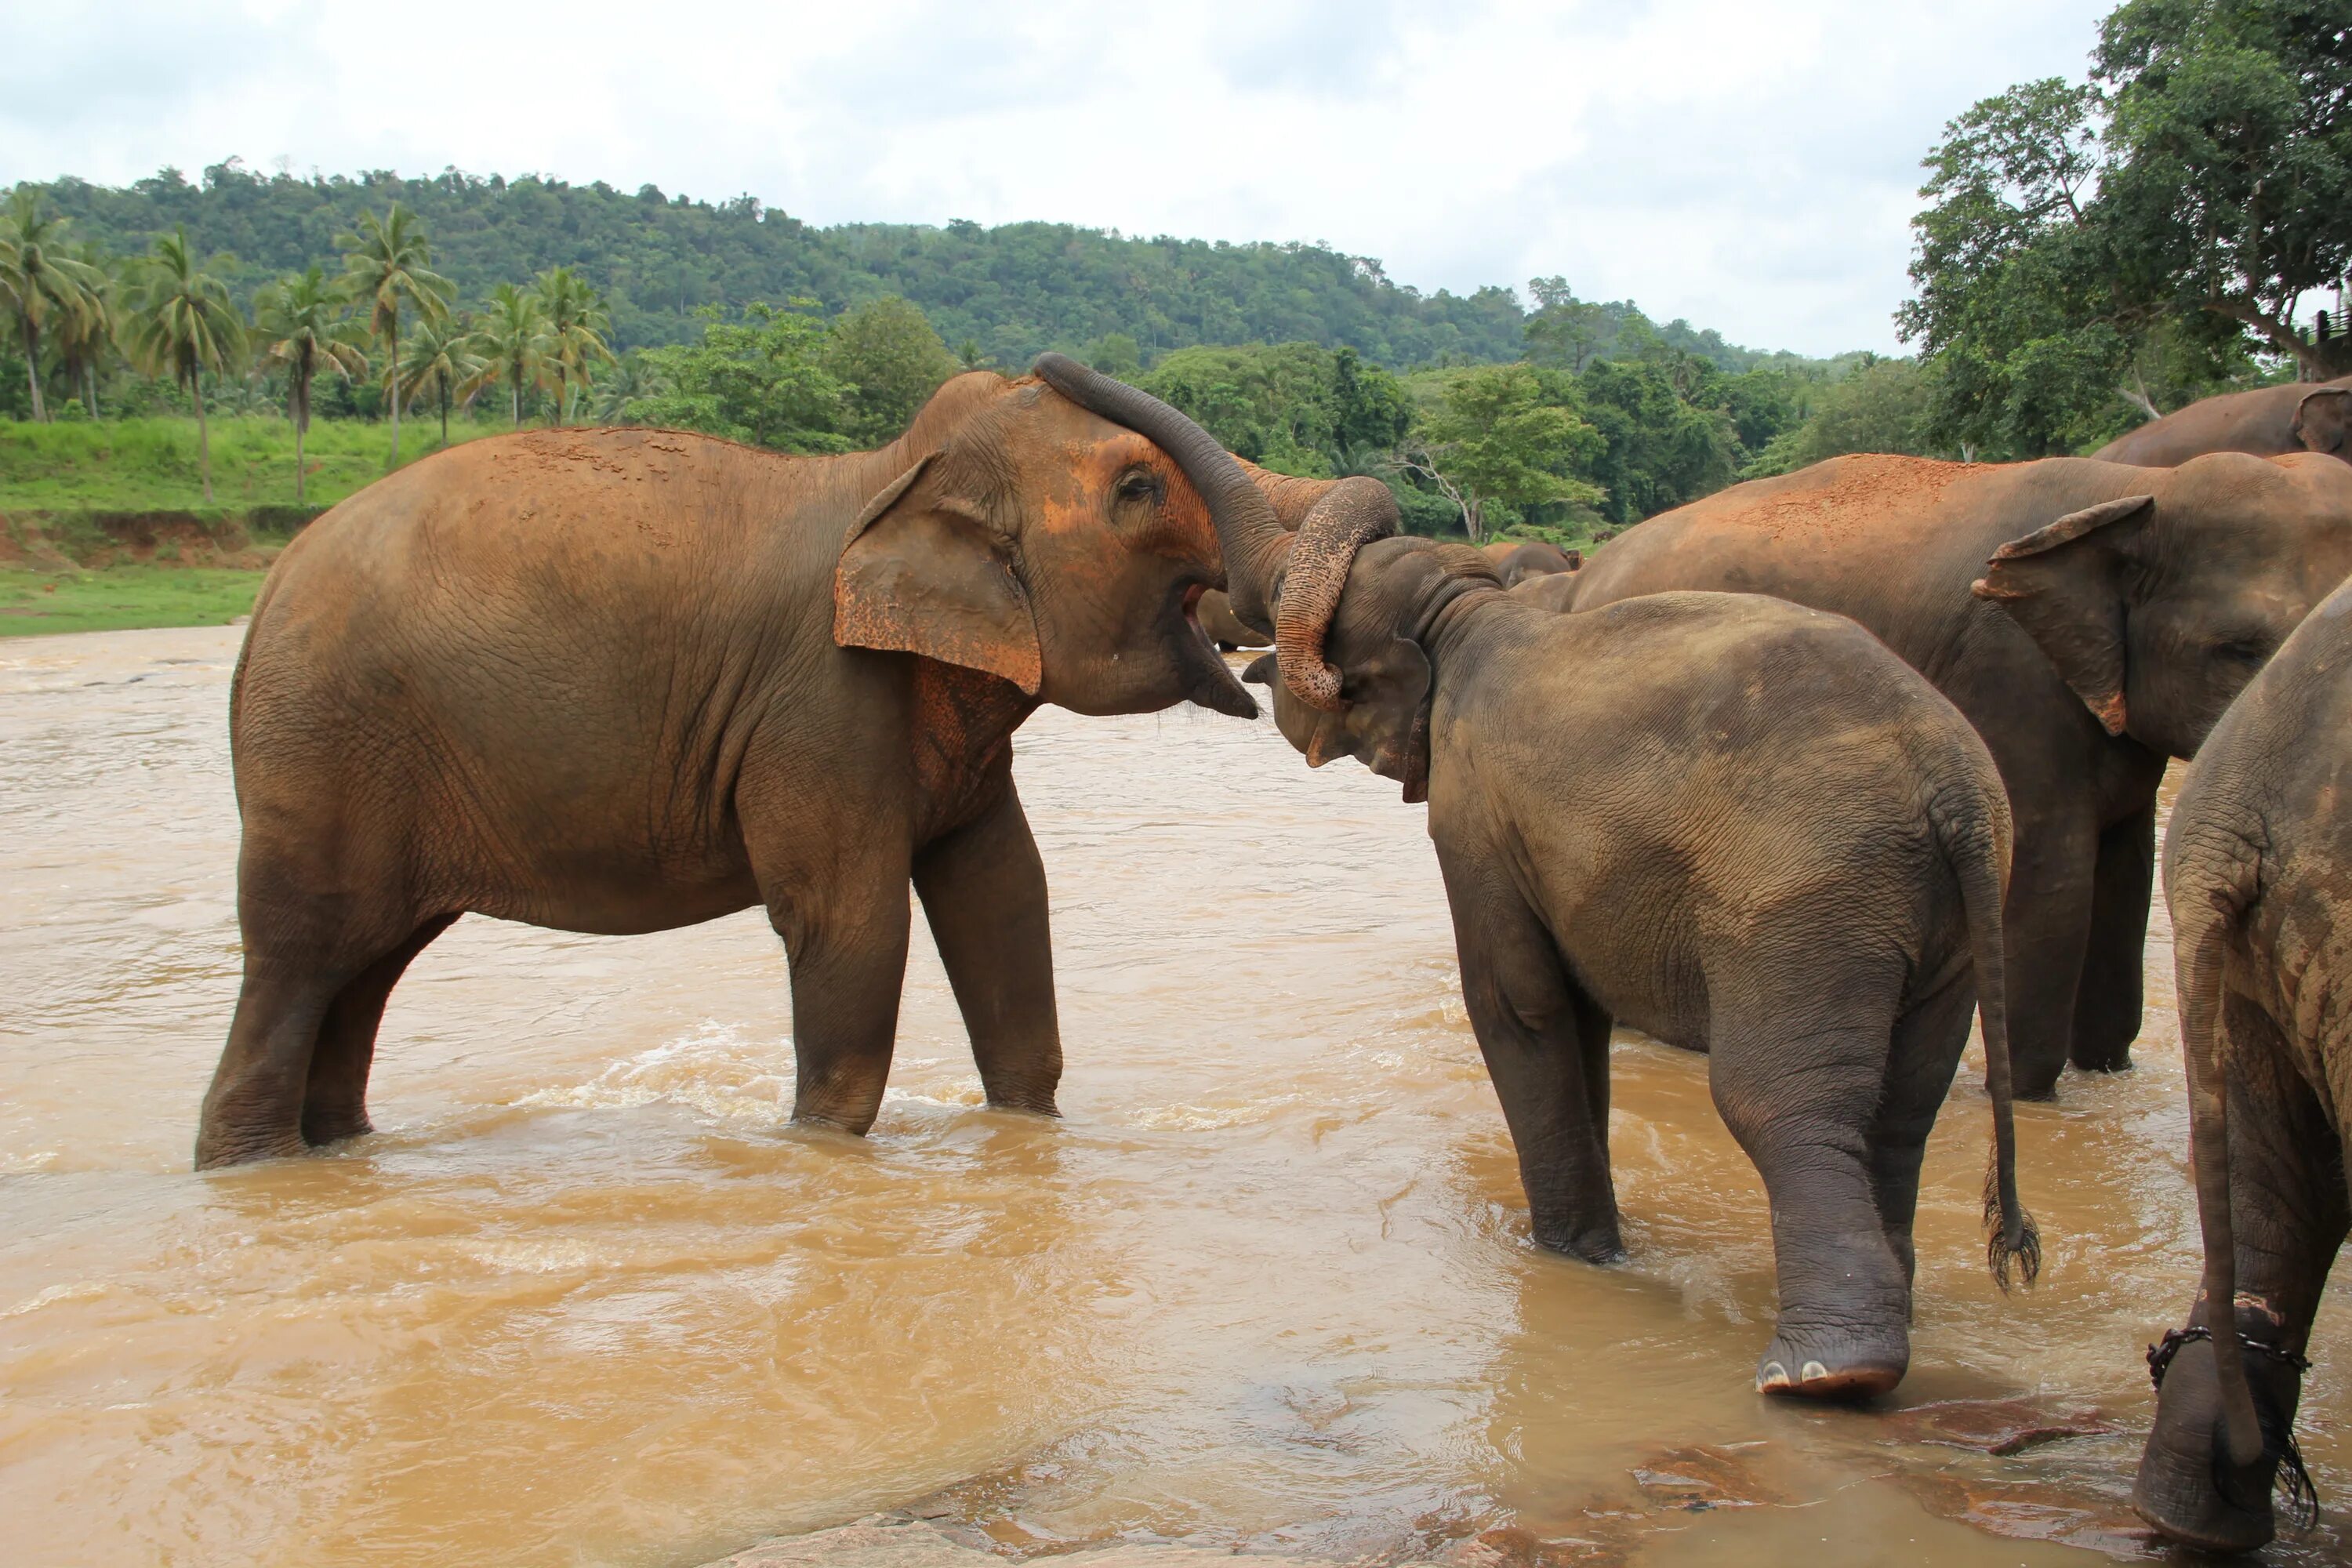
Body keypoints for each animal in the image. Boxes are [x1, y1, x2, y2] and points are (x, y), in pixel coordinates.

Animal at [198, 354, 1308, 1166]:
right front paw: (820, 1154)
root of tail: (266, 590)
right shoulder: (821, 701)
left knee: (363, 973)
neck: (893, 473)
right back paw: (249, 1166)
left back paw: (337, 1153)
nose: (1052, 358)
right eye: (1136, 488)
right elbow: (850, 921)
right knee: (300, 959)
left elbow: (1003, 897)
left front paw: (1029, 1132)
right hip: (322, 753)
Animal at [1562, 446, 2352, 1100]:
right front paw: (2034, 1101)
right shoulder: (2013, 676)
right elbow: (2049, 880)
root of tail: (1583, 582)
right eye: (2238, 649)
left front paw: (2109, 1076)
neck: (2138, 490)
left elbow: (2126, 874)